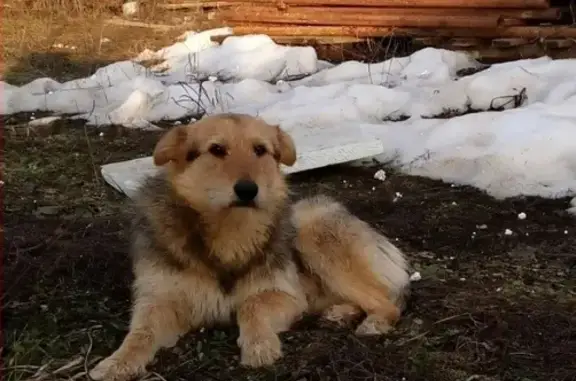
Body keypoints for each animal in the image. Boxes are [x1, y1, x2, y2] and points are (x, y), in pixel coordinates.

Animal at [90, 113, 410, 380]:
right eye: (217, 149)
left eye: (260, 150)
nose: (247, 190)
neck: (229, 231)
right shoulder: (159, 299)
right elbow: (140, 333)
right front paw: (117, 362)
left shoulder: (288, 295)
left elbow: (250, 305)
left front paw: (259, 346)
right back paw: (340, 312)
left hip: (312, 228)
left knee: (389, 301)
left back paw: (374, 321)